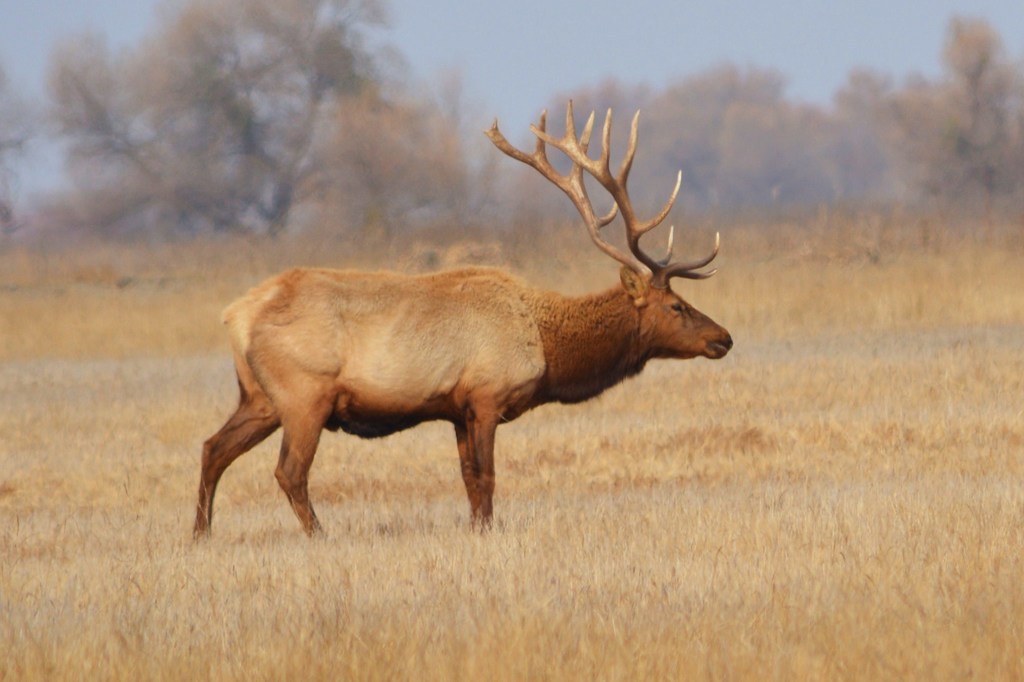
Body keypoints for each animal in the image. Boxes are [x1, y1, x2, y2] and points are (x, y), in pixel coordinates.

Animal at [193, 101, 733, 538]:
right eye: (677, 306)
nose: (724, 338)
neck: (546, 347)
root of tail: (234, 315)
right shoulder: (487, 395)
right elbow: (487, 477)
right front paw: (488, 533)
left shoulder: (455, 407)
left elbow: (468, 479)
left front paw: (476, 529)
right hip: (305, 394)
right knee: (289, 471)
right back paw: (318, 535)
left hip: (260, 397)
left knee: (212, 447)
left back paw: (200, 534)